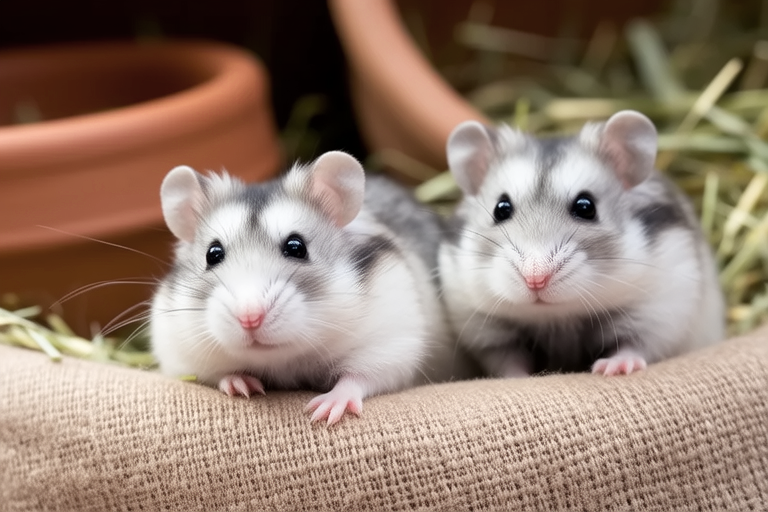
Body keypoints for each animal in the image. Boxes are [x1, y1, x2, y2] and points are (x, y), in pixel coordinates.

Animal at [150, 151, 456, 425]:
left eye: (297, 247)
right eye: (212, 254)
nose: (250, 318)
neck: (284, 359)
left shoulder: (390, 344)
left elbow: (359, 377)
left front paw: (325, 410)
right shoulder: (180, 355)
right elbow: (215, 375)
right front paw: (241, 386)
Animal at [439, 110, 725, 378]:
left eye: (586, 207)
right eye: (501, 209)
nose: (535, 280)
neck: (559, 317)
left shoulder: (660, 311)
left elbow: (635, 346)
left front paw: (613, 368)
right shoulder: (486, 330)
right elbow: (507, 360)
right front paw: (516, 378)